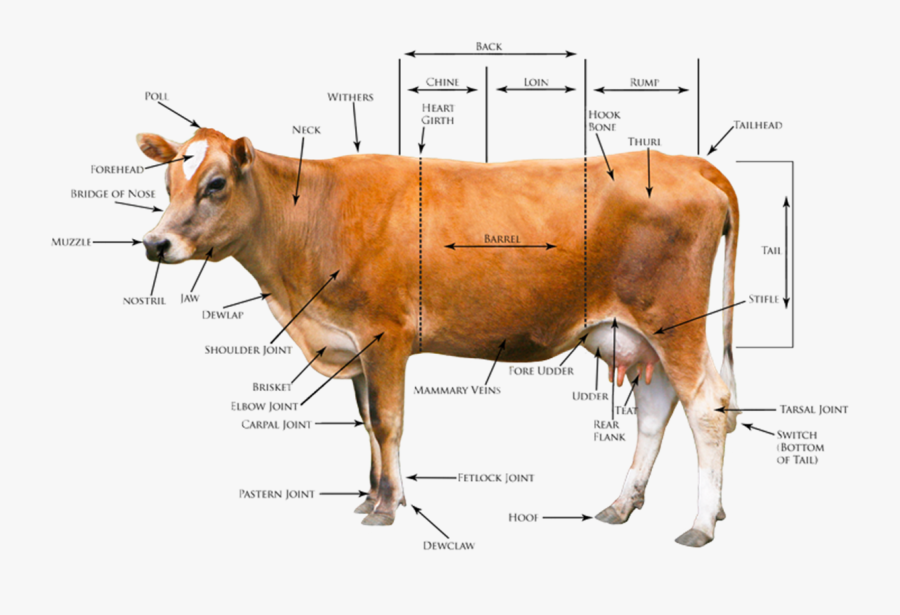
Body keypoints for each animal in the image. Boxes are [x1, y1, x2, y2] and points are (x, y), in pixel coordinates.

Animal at [137, 128, 740, 547]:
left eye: (215, 183)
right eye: (166, 183)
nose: (154, 243)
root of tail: (682, 162)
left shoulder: (385, 334)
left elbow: (388, 422)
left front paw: (386, 507)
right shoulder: (353, 345)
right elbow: (368, 424)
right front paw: (377, 497)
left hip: (673, 320)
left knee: (707, 405)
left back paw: (701, 524)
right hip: (633, 333)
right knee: (656, 408)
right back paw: (623, 503)